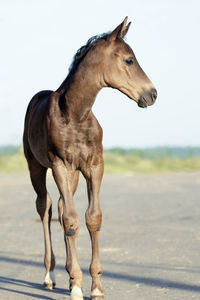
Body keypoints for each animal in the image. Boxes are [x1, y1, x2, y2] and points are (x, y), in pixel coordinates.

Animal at [23, 17, 156, 300]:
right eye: (129, 60)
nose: (152, 94)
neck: (76, 115)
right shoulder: (60, 165)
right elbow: (72, 220)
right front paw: (76, 286)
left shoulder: (94, 165)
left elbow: (91, 217)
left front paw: (95, 286)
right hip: (36, 167)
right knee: (45, 206)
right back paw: (50, 274)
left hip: (73, 174)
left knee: (61, 207)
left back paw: (66, 271)